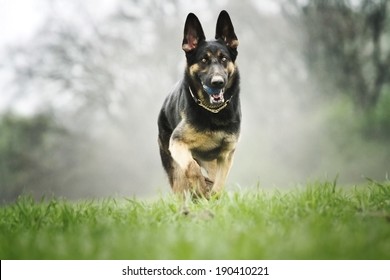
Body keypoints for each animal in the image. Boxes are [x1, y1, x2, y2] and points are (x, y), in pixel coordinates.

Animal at [158, 10, 241, 199]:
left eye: (223, 59)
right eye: (203, 60)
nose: (218, 82)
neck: (213, 112)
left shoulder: (226, 155)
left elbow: (218, 185)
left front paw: (211, 195)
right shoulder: (178, 143)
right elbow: (192, 168)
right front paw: (201, 189)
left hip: (211, 163)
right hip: (175, 168)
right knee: (182, 184)